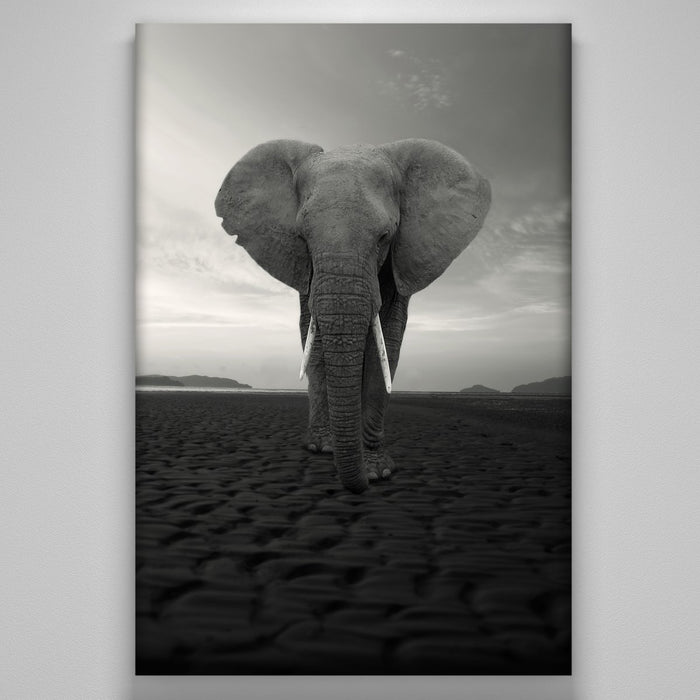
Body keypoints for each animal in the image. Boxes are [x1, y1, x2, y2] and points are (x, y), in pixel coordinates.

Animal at [215, 139, 491, 493]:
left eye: (385, 236)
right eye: (303, 238)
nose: (360, 485)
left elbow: (387, 342)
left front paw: (377, 471)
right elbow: (314, 336)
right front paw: (327, 449)